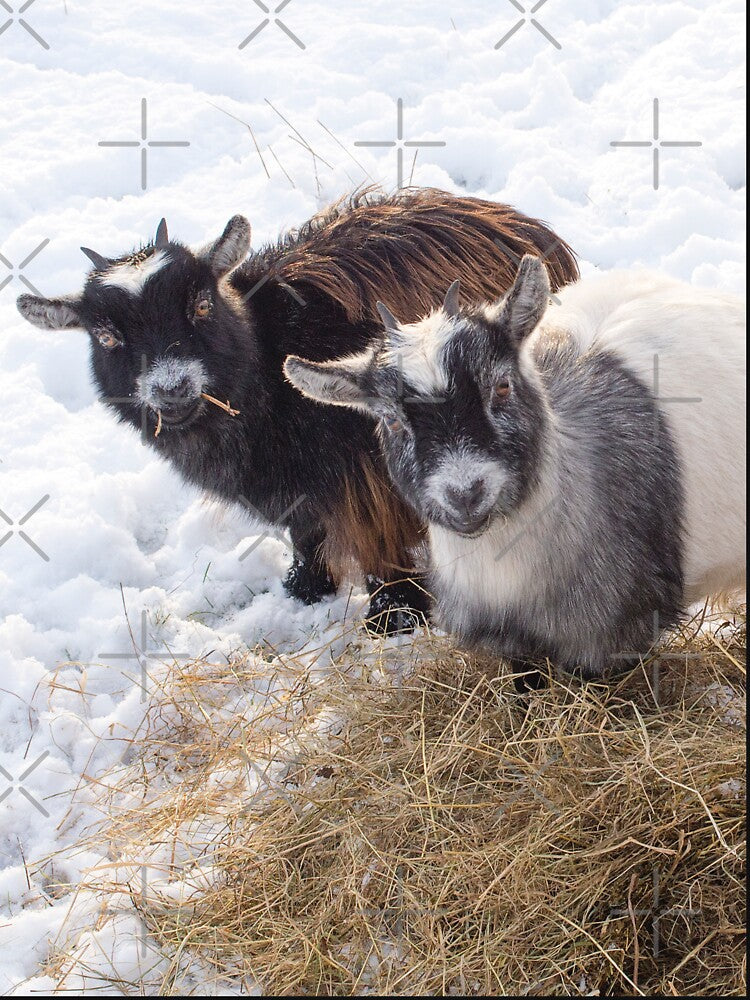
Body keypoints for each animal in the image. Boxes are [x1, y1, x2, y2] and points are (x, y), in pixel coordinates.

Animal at [17, 188, 579, 633]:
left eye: (201, 304)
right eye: (106, 336)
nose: (172, 389)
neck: (267, 369)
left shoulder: (369, 471)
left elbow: (381, 536)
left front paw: (394, 614)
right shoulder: (297, 487)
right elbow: (305, 531)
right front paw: (306, 585)